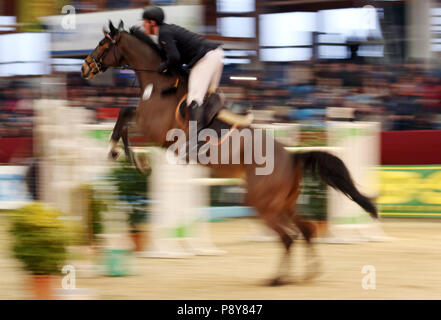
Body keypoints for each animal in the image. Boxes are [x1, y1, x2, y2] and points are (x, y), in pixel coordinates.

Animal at [81, 20, 376, 284]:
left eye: (102, 43)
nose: (84, 68)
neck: (159, 81)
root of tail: (292, 157)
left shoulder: (153, 128)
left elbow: (124, 117)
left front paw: (128, 156)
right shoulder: (146, 123)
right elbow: (124, 115)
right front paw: (121, 153)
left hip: (262, 203)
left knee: (288, 237)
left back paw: (278, 279)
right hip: (284, 203)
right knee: (307, 230)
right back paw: (309, 273)